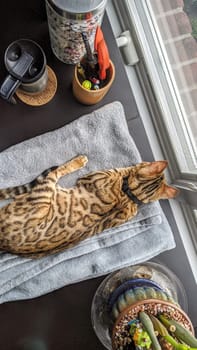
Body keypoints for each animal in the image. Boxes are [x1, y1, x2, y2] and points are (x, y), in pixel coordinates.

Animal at [0, 155, 179, 258]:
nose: (144, 161)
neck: (128, 194)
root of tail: (4, 243)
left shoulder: (89, 178)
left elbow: (124, 170)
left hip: (44, 195)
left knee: (53, 173)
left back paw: (77, 161)